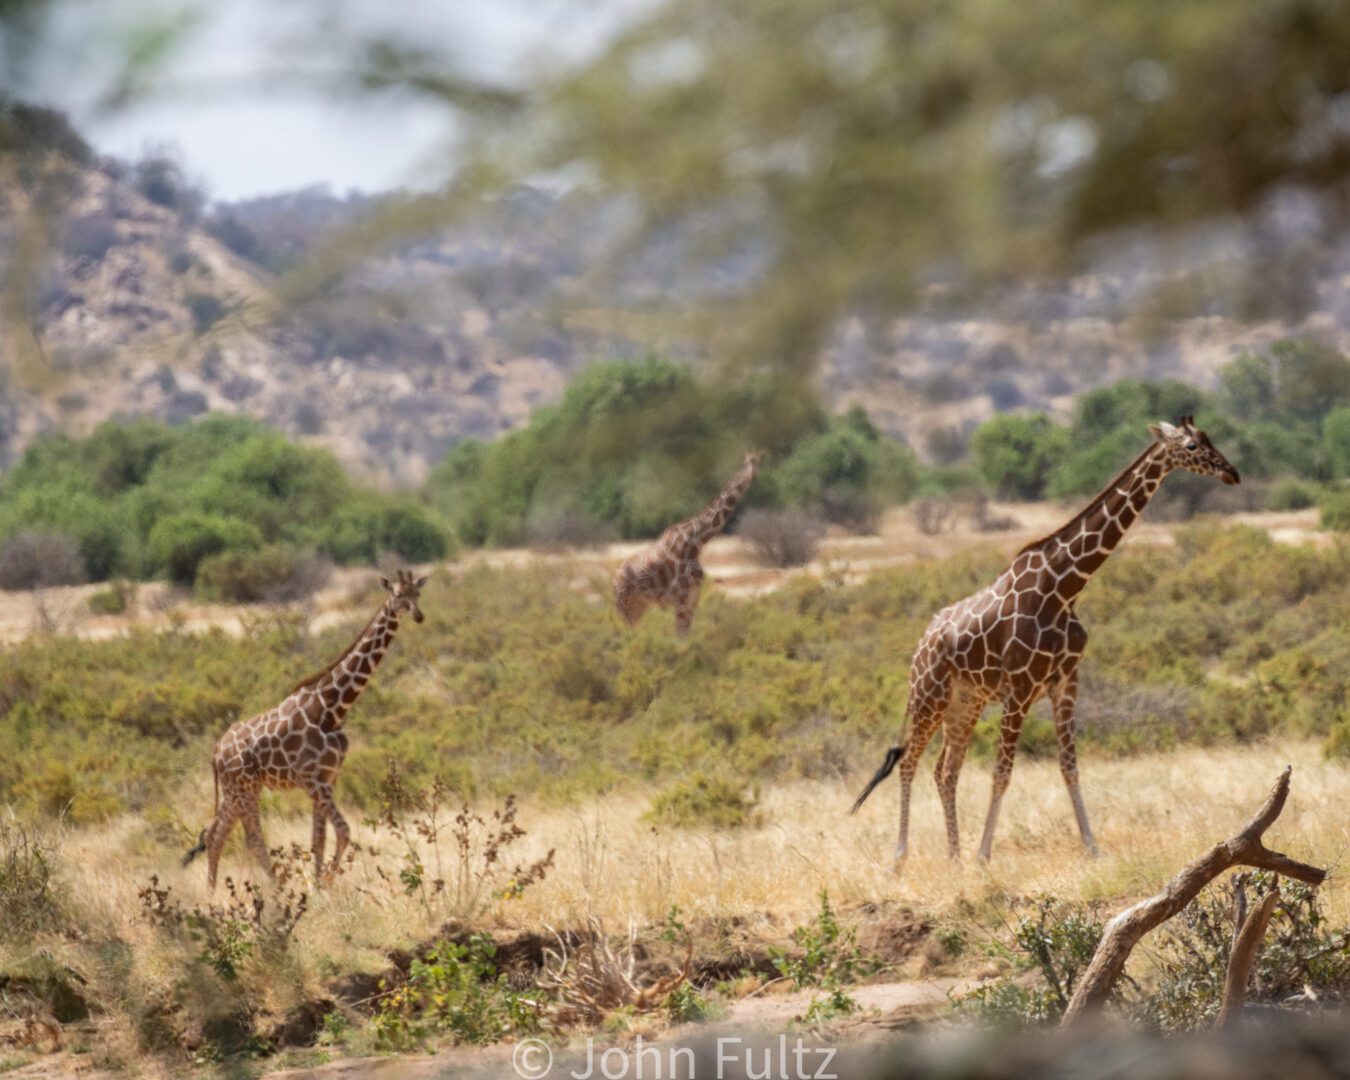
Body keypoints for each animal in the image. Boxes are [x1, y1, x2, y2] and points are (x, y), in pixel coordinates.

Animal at [184, 564, 423, 885]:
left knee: (215, 834)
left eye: (417, 593)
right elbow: (342, 831)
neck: (332, 709)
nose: (418, 616)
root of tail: (215, 752)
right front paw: (324, 884)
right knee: (251, 839)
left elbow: (318, 839)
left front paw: (321, 885)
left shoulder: (328, 779)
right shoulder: (313, 781)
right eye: (398, 595)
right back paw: (275, 892)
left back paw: (213, 894)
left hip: (238, 789)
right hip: (244, 788)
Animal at [618, 448, 766, 637]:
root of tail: (614, 579)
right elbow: (681, 635)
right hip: (626, 606)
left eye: (758, 462)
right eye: (746, 463)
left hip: (640, 606)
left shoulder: (694, 595)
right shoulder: (681, 595)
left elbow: (687, 634)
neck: (697, 541)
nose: (752, 475)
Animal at [847, 418, 1236, 864]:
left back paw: (954, 856)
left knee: (945, 770)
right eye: (1191, 447)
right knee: (909, 762)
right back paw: (901, 857)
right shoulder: (1020, 687)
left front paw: (1092, 848)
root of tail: (920, 645)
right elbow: (1002, 772)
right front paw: (984, 856)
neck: (1064, 588)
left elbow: (1069, 765)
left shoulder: (1065, 680)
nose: (1232, 472)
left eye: (1209, 440)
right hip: (930, 697)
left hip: (965, 703)